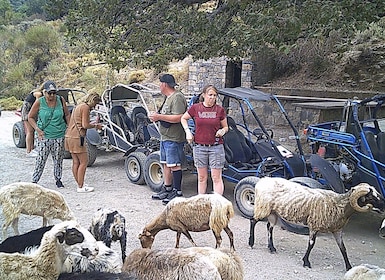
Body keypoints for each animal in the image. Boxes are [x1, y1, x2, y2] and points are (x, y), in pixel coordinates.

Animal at [248, 177, 382, 272]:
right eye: (370, 196)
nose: (383, 207)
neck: (340, 205)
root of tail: (262, 181)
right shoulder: (314, 225)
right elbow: (311, 244)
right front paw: (306, 262)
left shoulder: (337, 230)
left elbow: (343, 248)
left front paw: (349, 267)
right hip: (263, 207)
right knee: (253, 221)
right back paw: (251, 243)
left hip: (273, 212)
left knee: (269, 227)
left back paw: (271, 248)